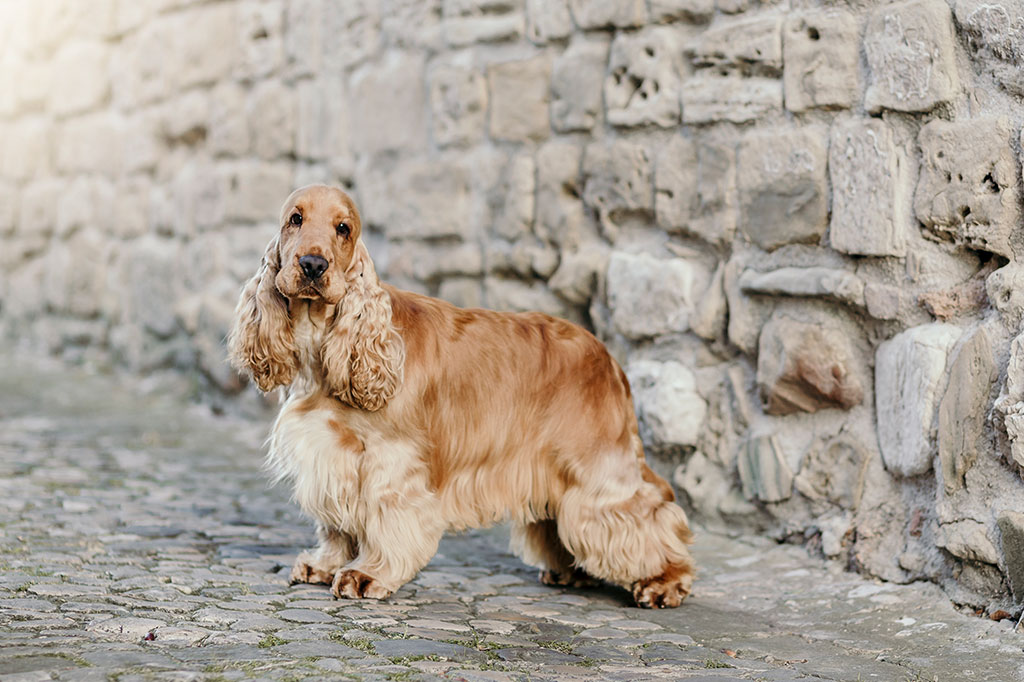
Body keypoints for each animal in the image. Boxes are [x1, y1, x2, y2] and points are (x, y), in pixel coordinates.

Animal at [229, 182, 696, 606]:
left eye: (343, 228)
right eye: (295, 219)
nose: (312, 264)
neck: (321, 345)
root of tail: (608, 359)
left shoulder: (390, 459)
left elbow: (383, 518)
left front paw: (367, 574)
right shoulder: (331, 455)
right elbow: (336, 524)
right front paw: (325, 565)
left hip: (595, 471)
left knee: (649, 513)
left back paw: (663, 583)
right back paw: (571, 572)